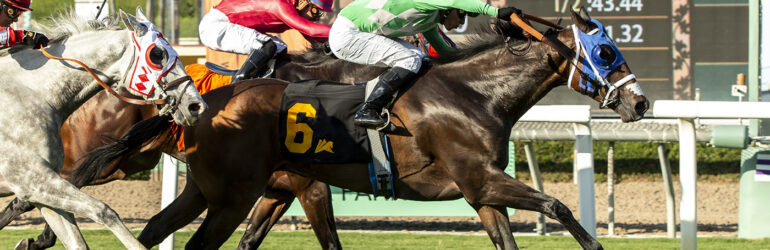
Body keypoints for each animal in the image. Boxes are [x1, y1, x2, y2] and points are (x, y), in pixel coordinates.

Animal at [0, 6, 207, 249]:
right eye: (157, 54)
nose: (196, 106)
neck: (32, 92)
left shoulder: (41, 186)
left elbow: (77, 241)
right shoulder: (32, 180)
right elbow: (104, 211)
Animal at [75, 12, 644, 250]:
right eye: (605, 51)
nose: (639, 101)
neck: (473, 94)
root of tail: (204, 99)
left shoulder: (482, 192)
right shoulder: (479, 179)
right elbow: (558, 205)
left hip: (212, 190)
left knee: (154, 229)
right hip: (232, 194)